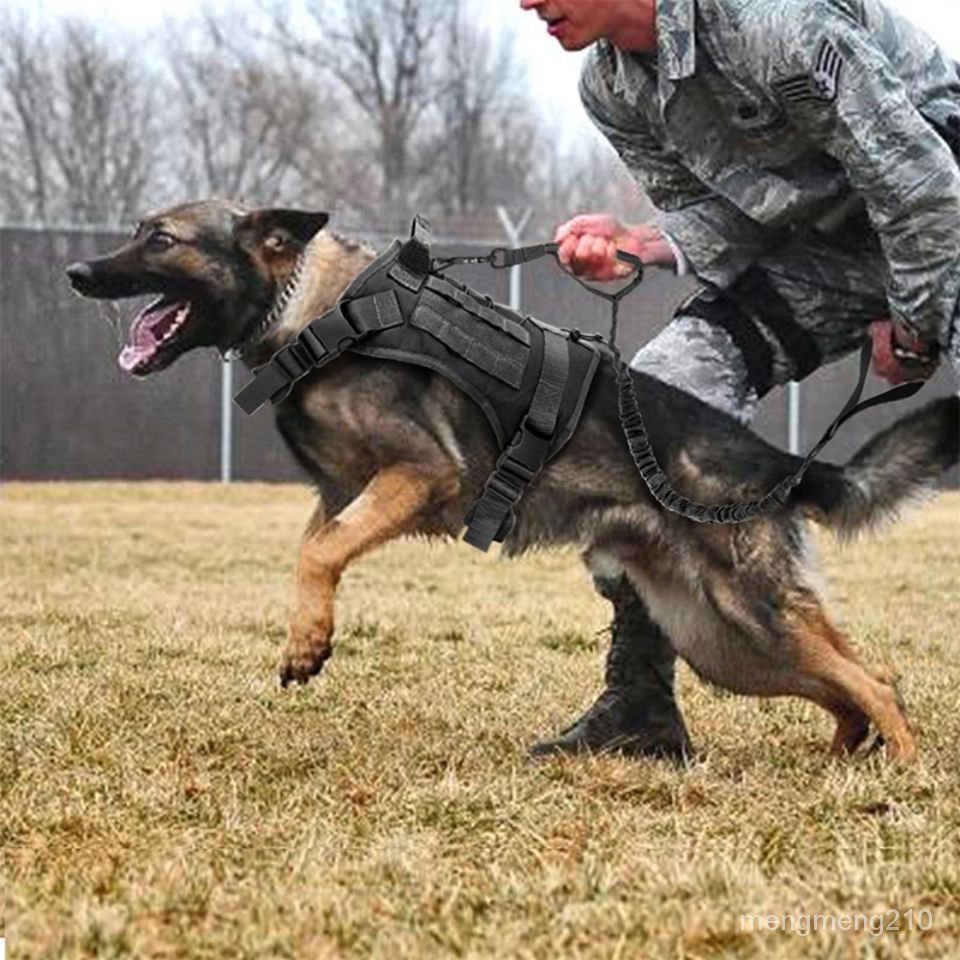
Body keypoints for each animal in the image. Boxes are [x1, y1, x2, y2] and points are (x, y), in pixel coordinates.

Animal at [63, 202, 956, 764]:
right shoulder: (342, 497)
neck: (317, 313)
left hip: (752, 615)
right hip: (723, 643)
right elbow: (317, 551)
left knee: (874, 679)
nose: (75, 271)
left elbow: (318, 555)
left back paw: (901, 771)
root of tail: (778, 463)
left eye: (161, 239)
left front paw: (311, 639)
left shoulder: (419, 473)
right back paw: (842, 756)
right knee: (848, 684)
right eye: (137, 232)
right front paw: (305, 637)